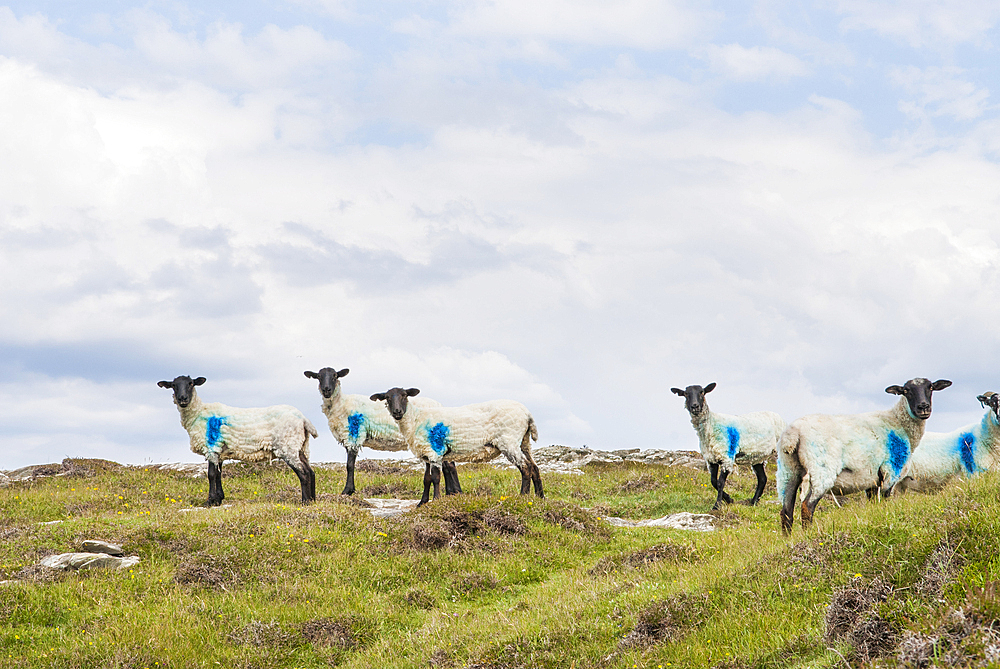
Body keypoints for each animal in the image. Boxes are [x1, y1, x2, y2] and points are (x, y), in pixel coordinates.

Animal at [158, 374, 318, 504]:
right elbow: (218, 474)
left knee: (303, 473)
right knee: (310, 471)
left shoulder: (211, 447)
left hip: (288, 446)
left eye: (191, 383)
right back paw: (313, 500)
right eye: (173, 385)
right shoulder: (219, 450)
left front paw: (210, 501)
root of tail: (303, 419)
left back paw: (305, 501)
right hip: (300, 446)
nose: (182, 399)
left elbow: (211, 475)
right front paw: (218, 499)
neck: (198, 413)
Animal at [304, 366, 460, 496]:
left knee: (448, 465)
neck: (340, 404)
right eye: (318, 376)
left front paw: (347, 491)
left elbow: (349, 465)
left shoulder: (354, 434)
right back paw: (453, 492)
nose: (326, 390)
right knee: (449, 464)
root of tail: (440, 405)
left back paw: (453, 492)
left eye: (335, 375)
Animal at [370, 386, 544, 506]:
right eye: (387, 398)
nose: (397, 412)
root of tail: (528, 414)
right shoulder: (426, 453)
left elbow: (436, 477)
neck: (415, 419)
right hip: (524, 442)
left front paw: (436, 500)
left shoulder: (435, 451)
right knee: (535, 468)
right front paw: (422, 503)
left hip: (509, 441)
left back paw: (523, 496)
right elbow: (426, 479)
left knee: (526, 467)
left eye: (404, 395)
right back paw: (539, 497)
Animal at [776, 376, 948, 532]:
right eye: (906, 391)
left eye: (930, 387)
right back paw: (807, 533)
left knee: (786, 512)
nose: (923, 407)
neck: (899, 424)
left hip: (788, 471)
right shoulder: (890, 472)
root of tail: (793, 433)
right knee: (807, 507)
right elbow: (885, 501)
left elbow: (873, 504)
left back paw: (789, 539)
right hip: (821, 470)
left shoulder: (872, 480)